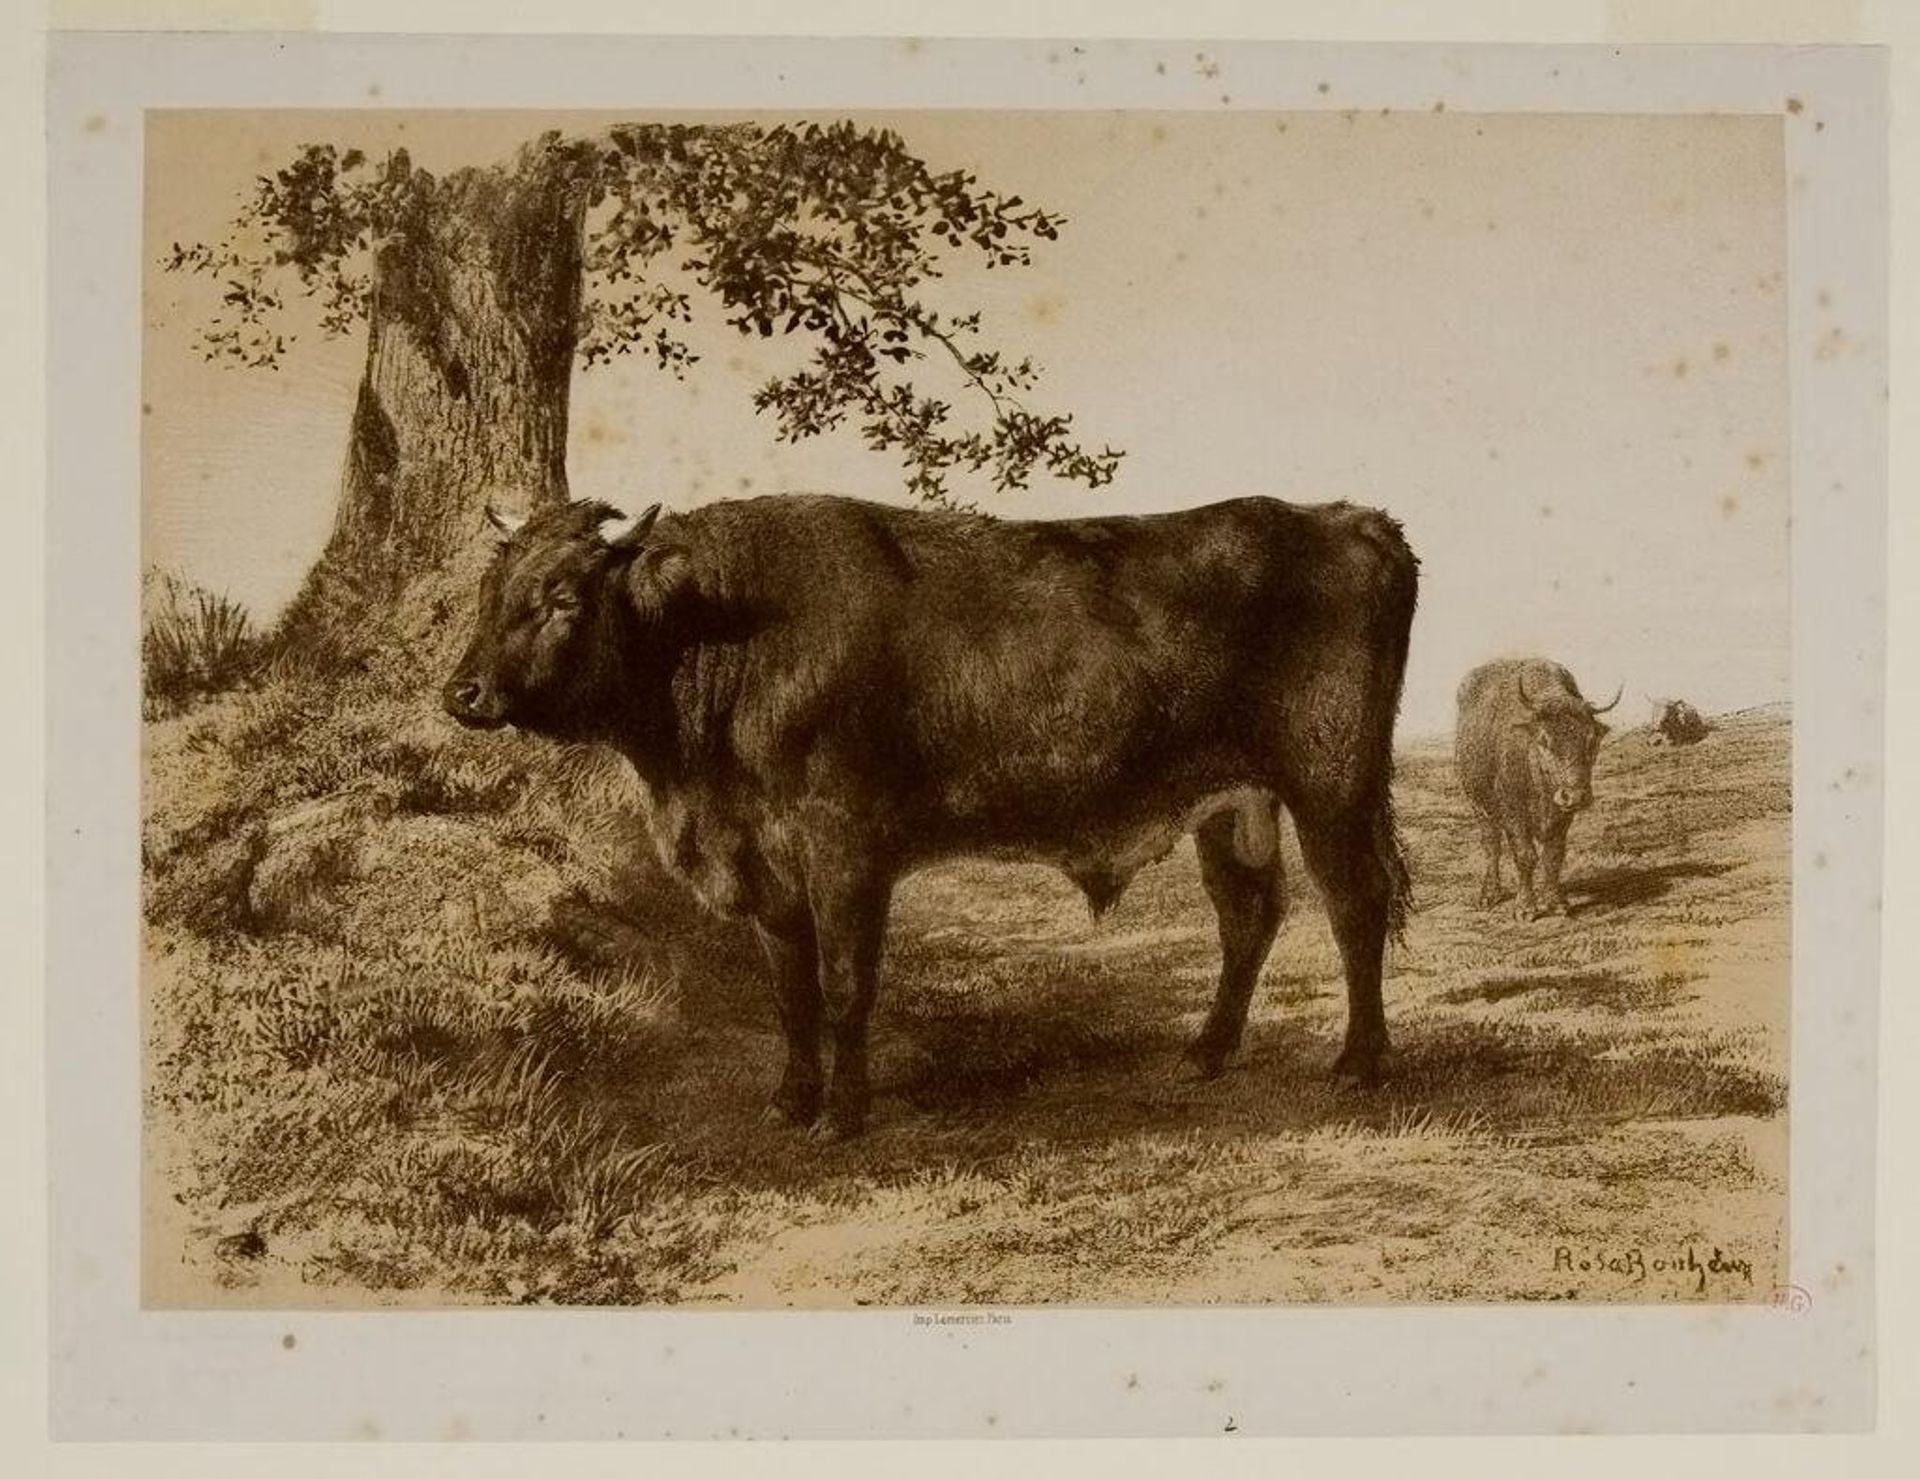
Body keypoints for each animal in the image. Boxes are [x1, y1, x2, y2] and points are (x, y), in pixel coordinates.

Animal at [443, 492, 1419, 1139]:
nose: (463, 692)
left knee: (1355, 906)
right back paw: (1207, 1051)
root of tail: (1345, 517)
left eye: (563, 597)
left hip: (1331, 786)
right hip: (1230, 801)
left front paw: (843, 1115)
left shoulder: (845, 850)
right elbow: (792, 988)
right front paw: (789, 1100)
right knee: (1247, 914)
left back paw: (1359, 1064)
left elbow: (844, 984)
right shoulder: (768, 862)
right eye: (490, 593)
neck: (727, 633)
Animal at [1454, 657, 1620, 921]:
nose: (1576, 795)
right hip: (1478, 805)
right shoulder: (1513, 813)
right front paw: (1525, 909)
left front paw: (1557, 903)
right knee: (1491, 846)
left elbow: (1553, 856)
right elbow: (1525, 856)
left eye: (1591, 740)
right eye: (1544, 739)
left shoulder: (1562, 816)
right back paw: (1489, 895)